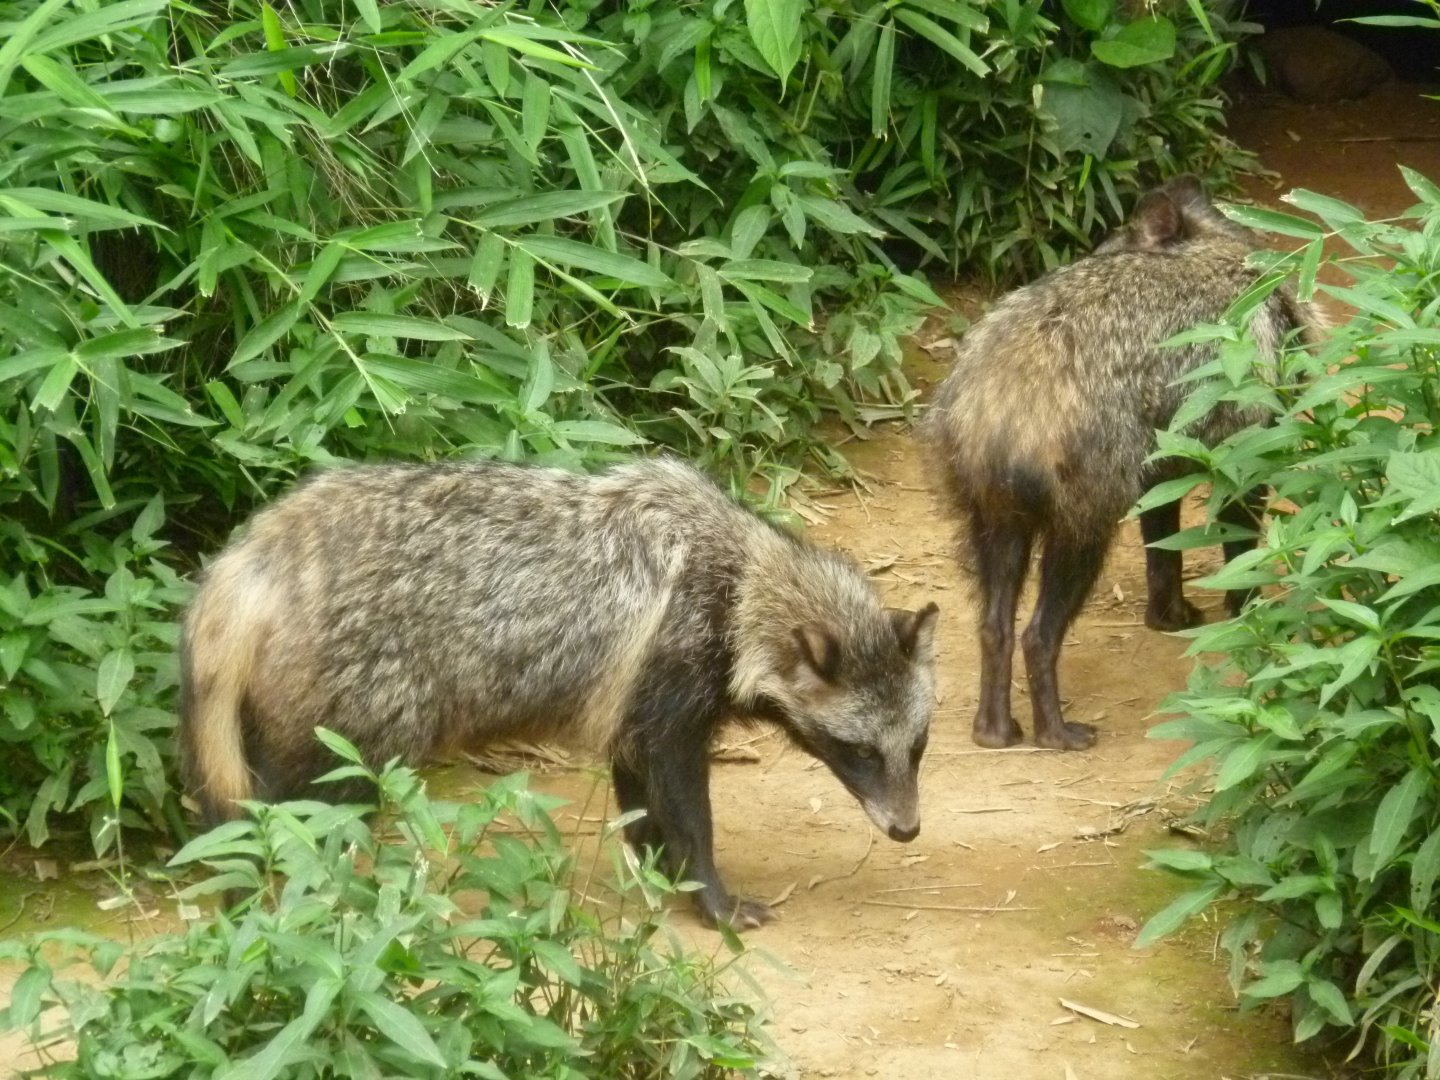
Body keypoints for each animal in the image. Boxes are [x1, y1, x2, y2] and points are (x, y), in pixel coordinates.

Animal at [180, 456, 940, 929]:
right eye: (860, 751)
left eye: (917, 747)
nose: (908, 829)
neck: (745, 582)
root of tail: (250, 563)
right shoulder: (671, 674)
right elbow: (685, 805)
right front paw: (709, 893)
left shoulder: (634, 705)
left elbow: (641, 801)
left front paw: (661, 878)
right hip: (356, 721)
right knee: (295, 810)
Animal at [922, 175, 1316, 752]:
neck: (1214, 252)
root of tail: (1000, 413)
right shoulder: (1243, 462)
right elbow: (1238, 553)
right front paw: (1245, 620)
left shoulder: (1161, 472)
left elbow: (1163, 552)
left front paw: (1170, 618)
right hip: (1082, 527)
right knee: (1038, 635)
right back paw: (1056, 733)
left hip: (996, 521)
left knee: (994, 627)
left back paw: (995, 731)